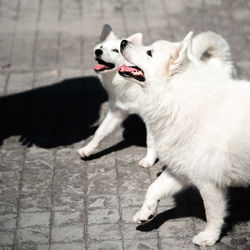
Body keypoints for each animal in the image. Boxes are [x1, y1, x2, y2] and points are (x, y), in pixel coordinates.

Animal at [118, 31, 249, 246]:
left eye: (149, 52)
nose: (122, 42)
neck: (177, 97)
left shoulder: (208, 182)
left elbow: (213, 214)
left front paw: (209, 237)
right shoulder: (181, 169)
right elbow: (153, 188)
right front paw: (146, 212)